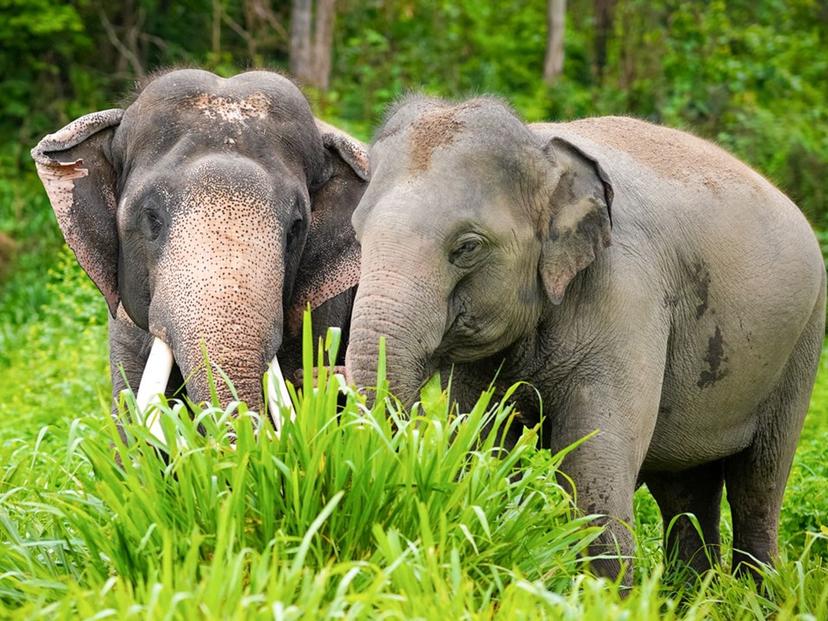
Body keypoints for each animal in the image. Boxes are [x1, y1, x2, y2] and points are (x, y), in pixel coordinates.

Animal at [346, 94, 824, 580]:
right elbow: (482, 440)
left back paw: (757, 589)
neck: (540, 147)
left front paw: (605, 593)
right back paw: (693, 589)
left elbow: (591, 458)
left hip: (804, 337)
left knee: (760, 479)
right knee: (683, 485)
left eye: (467, 247)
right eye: (358, 237)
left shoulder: (626, 292)